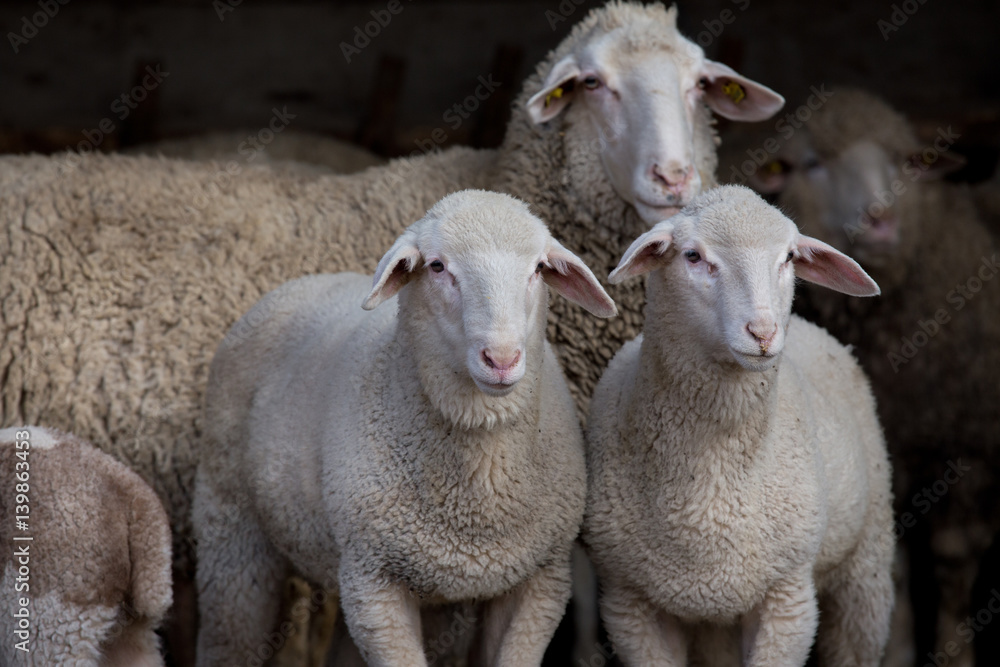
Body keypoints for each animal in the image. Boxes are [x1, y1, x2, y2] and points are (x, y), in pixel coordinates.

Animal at [192, 189, 617, 666]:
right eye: (437, 266)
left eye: (538, 269)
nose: (502, 359)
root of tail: (302, 282)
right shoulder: (373, 584)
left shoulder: (540, 581)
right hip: (231, 525)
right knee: (229, 636)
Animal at [583, 185, 894, 666]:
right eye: (692, 256)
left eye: (788, 257)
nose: (763, 333)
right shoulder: (628, 603)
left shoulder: (788, 598)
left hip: (867, 563)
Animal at [720, 88, 1000, 665]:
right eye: (812, 163)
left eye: (905, 162)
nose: (882, 219)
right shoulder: (891, 453)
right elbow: (894, 563)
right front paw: (898, 651)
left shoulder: (970, 449)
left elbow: (952, 562)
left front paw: (953, 652)